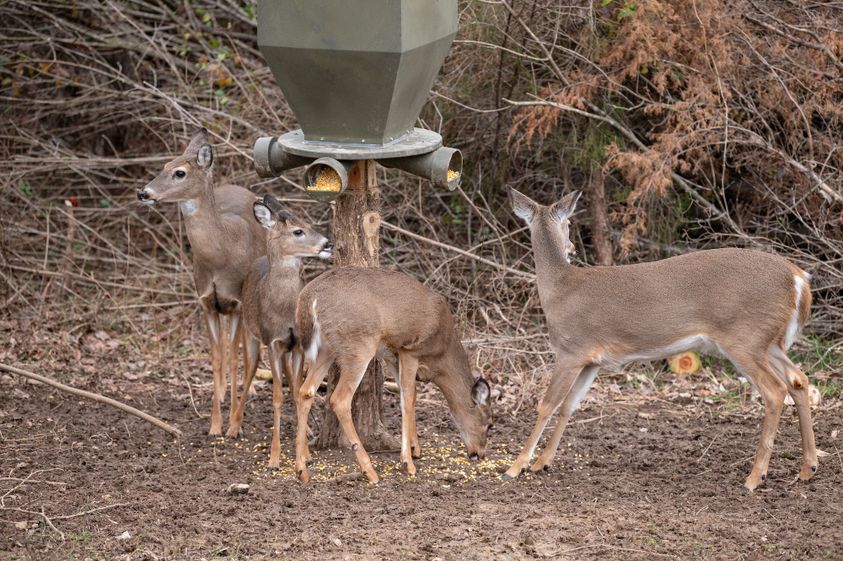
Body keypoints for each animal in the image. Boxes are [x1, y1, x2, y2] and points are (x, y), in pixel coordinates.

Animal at [137, 129, 265, 435]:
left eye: (179, 173)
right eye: (164, 166)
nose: (143, 192)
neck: (222, 254)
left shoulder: (236, 302)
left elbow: (233, 357)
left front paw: (234, 425)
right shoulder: (206, 302)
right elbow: (216, 357)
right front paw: (215, 425)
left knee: (246, 348)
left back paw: (247, 391)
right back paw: (222, 391)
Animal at [226, 194, 333, 468]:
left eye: (308, 223)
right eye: (298, 231)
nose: (328, 243)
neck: (284, 311)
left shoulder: (298, 345)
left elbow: (296, 391)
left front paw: (305, 453)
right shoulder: (273, 342)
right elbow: (276, 397)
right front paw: (274, 457)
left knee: (289, 380)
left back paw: (307, 430)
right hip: (251, 334)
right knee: (249, 371)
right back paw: (233, 426)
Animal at [293, 267, 493, 483]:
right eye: (489, 424)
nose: (480, 454)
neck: (442, 354)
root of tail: (309, 298)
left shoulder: (393, 355)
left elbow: (410, 395)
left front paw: (415, 449)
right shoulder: (410, 351)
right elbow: (408, 398)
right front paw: (408, 463)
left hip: (327, 348)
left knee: (305, 391)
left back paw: (302, 467)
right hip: (359, 345)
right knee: (339, 399)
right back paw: (369, 471)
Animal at [505, 187, 818, 491]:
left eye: (568, 224)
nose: (571, 248)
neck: (559, 289)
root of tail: (798, 278)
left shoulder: (571, 349)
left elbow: (547, 404)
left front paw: (517, 466)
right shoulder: (592, 360)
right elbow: (569, 406)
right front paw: (543, 462)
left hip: (745, 338)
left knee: (775, 390)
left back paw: (754, 478)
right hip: (768, 342)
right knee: (798, 379)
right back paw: (807, 468)